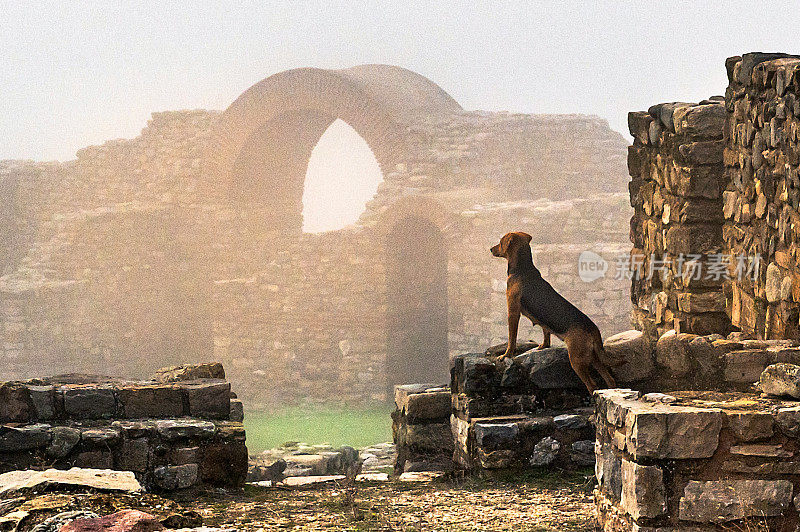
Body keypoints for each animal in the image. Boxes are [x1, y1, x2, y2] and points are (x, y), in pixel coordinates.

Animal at [488, 231, 624, 392]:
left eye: (501, 242)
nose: (490, 249)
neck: (523, 268)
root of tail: (593, 328)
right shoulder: (542, 323)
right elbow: (545, 332)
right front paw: (544, 345)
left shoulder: (513, 312)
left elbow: (511, 338)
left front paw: (506, 355)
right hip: (593, 357)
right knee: (609, 379)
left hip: (577, 360)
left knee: (592, 385)